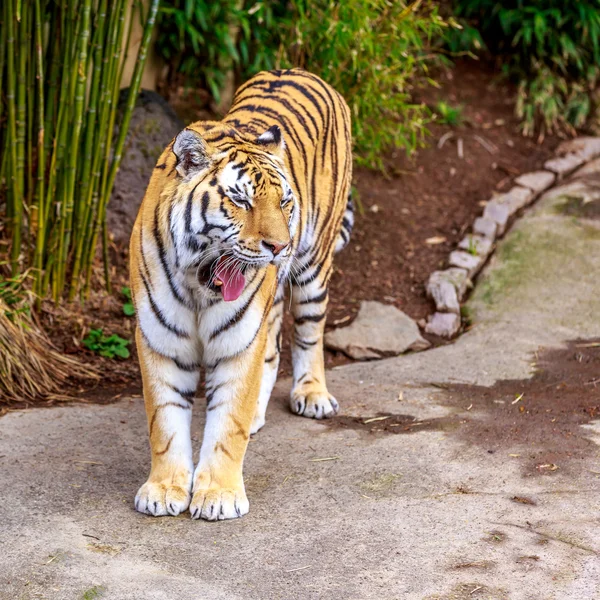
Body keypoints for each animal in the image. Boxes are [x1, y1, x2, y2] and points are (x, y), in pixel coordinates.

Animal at [130, 67, 352, 520]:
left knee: (309, 334)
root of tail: (301, 70)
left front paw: (217, 495)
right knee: (272, 349)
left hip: (314, 267)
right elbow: (164, 422)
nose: (279, 247)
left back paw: (312, 395)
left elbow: (227, 425)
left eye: (284, 202)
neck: (198, 281)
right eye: (241, 201)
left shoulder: (237, 341)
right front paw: (164, 489)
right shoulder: (161, 341)